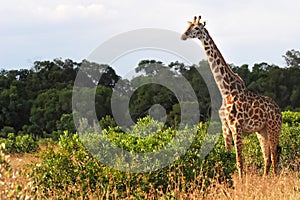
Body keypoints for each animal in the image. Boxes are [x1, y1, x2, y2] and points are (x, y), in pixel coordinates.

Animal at [180, 16, 284, 178]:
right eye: (189, 26)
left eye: (196, 28)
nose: (183, 35)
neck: (225, 90)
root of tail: (279, 111)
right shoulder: (226, 126)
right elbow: (227, 155)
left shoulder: (237, 126)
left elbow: (239, 160)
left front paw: (240, 181)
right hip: (262, 131)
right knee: (267, 157)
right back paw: (265, 178)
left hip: (274, 128)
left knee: (273, 155)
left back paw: (273, 179)